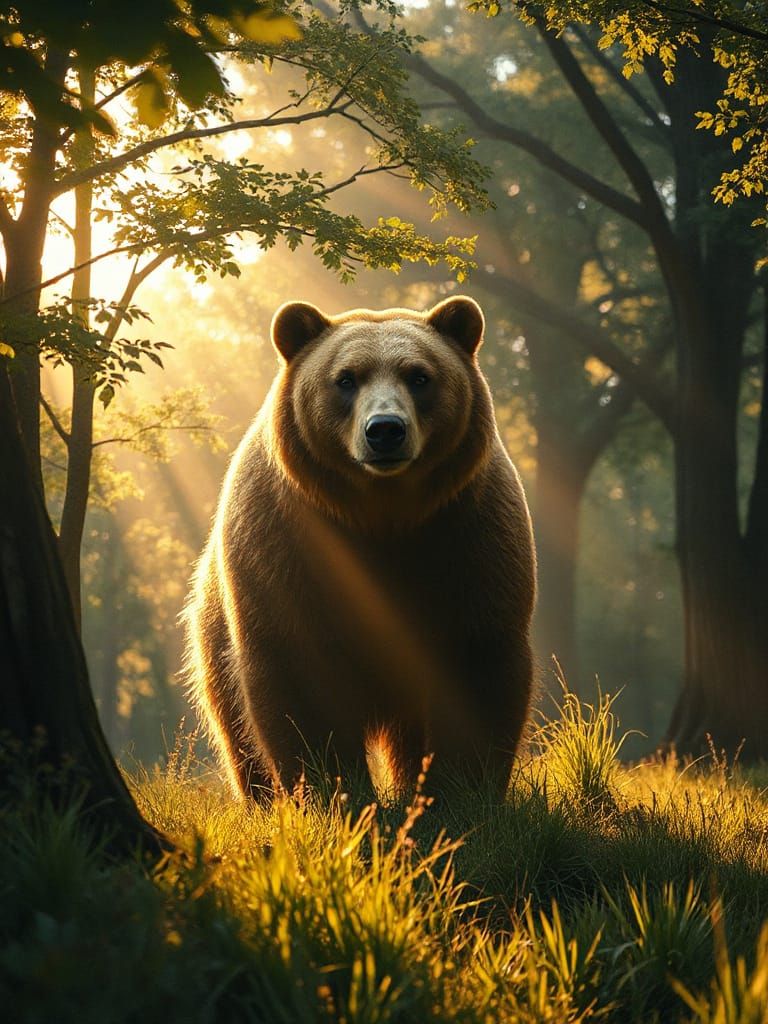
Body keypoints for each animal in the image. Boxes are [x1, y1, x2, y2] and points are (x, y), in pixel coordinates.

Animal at [184, 295, 536, 801]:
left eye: (419, 375)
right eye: (346, 378)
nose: (385, 429)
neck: (380, 515)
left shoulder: (467, 535)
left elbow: (479, 658)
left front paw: (460, 791)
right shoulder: (289, 542)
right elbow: (300, 675)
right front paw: (333, 791)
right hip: (214, 628)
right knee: (235, 724)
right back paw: (262, 800)